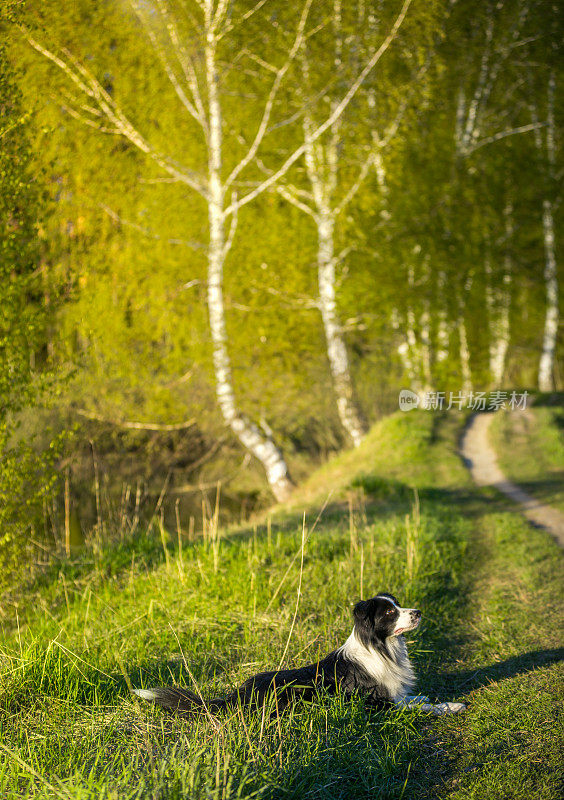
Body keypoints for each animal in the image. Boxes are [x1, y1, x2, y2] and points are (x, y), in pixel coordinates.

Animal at [133, 592, 468, 720]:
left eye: (398, 605)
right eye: (389, 613)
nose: (418, 612)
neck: (381, 646)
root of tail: (235, 695)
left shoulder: (393, 695)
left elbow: (412, 698)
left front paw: (424, 696)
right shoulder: (379, 703)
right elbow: (420, 707)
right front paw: (450, 706)